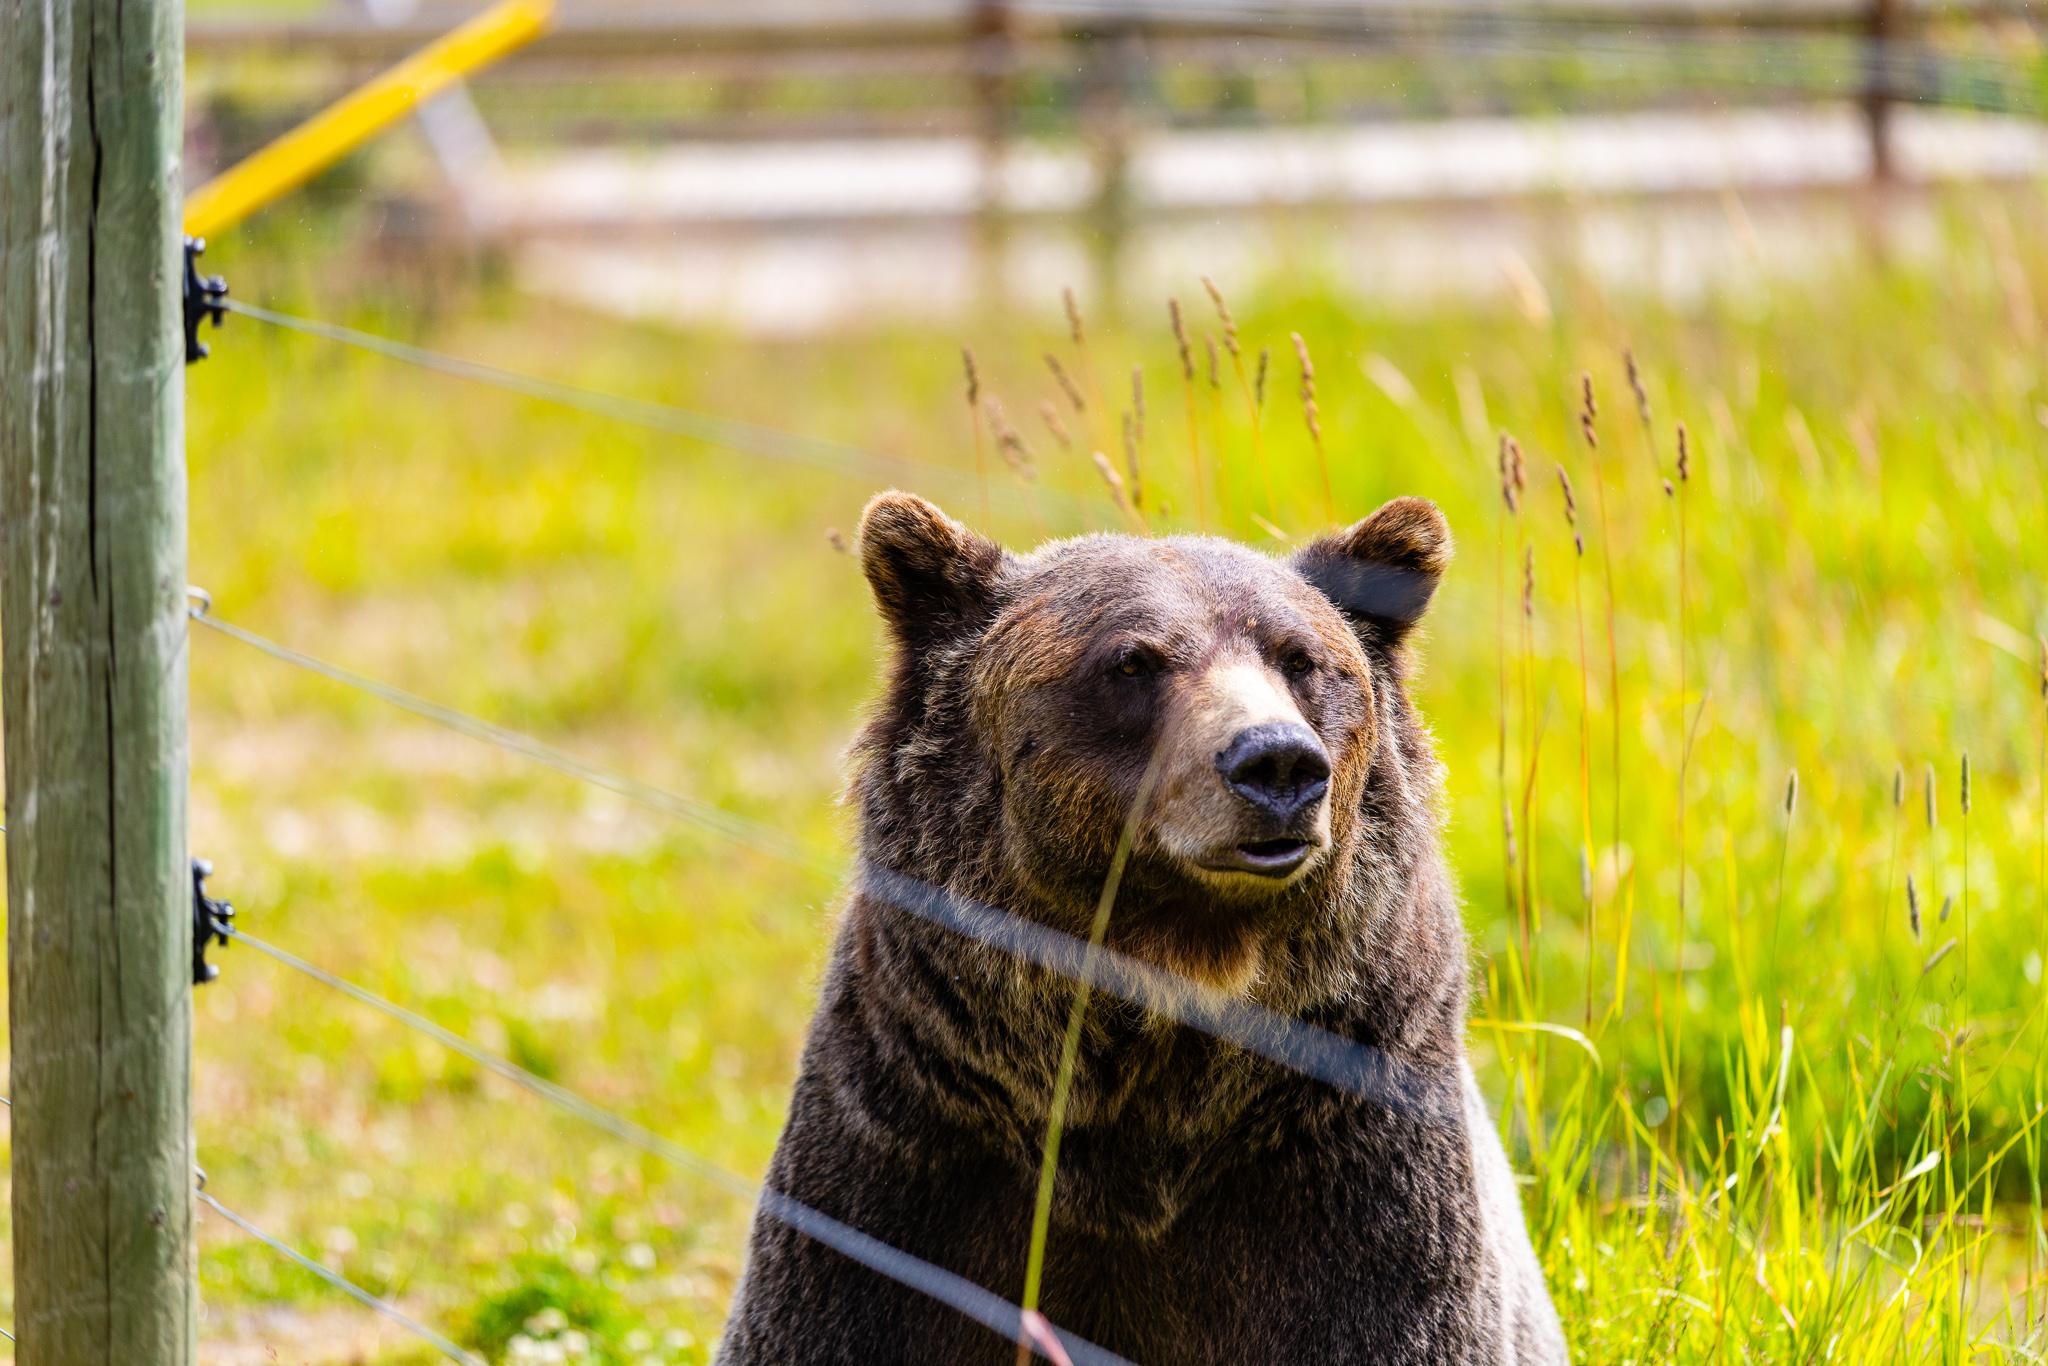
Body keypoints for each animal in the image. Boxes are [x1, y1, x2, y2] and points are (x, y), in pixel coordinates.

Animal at [718, 491, 1567, 1365]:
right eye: (1132, 662)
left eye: (1300, 659)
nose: (1277, 764)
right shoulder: (910, 1144)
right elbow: (841, 1308)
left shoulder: (1349, 1131)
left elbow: (1394, 1313)